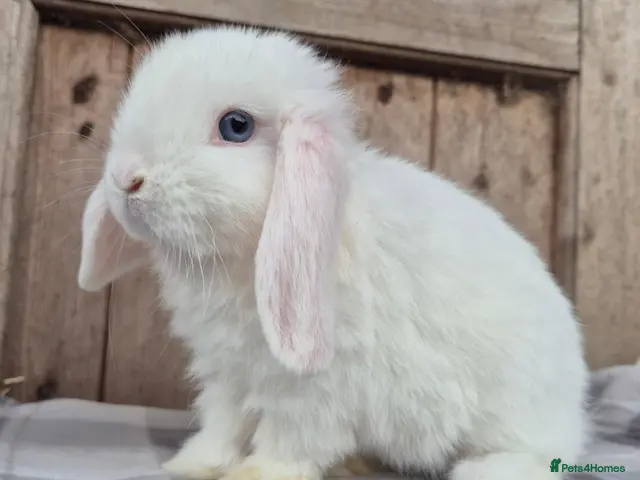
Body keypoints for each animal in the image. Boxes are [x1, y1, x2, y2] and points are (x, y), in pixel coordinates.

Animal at [77, 26, 590, 480]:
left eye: (236, 126)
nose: (126, 179)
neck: (242, 259)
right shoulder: (228, 375)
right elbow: (222, 426)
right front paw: (193, 465)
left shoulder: (314, 389)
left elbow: (290, 438)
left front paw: (258, 473)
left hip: (520, 415)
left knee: (540, 455)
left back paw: (484, 469)